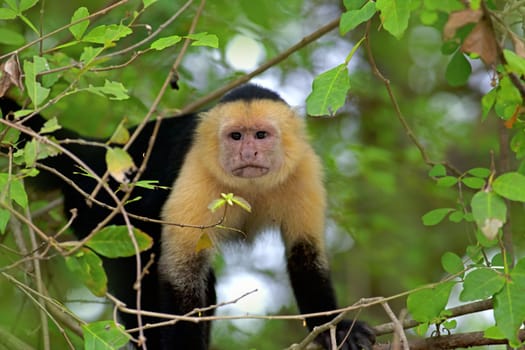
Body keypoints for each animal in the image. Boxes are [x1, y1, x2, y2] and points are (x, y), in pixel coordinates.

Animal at [2, 85, 374, 350]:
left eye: (261, 135)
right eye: (236, 136)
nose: (248, 152)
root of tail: (98, 153)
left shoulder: (304, 169)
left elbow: (305, 256)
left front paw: (335, 328)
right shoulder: (197, 169)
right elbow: (181, 274)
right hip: (100, 209)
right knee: (139, 267)